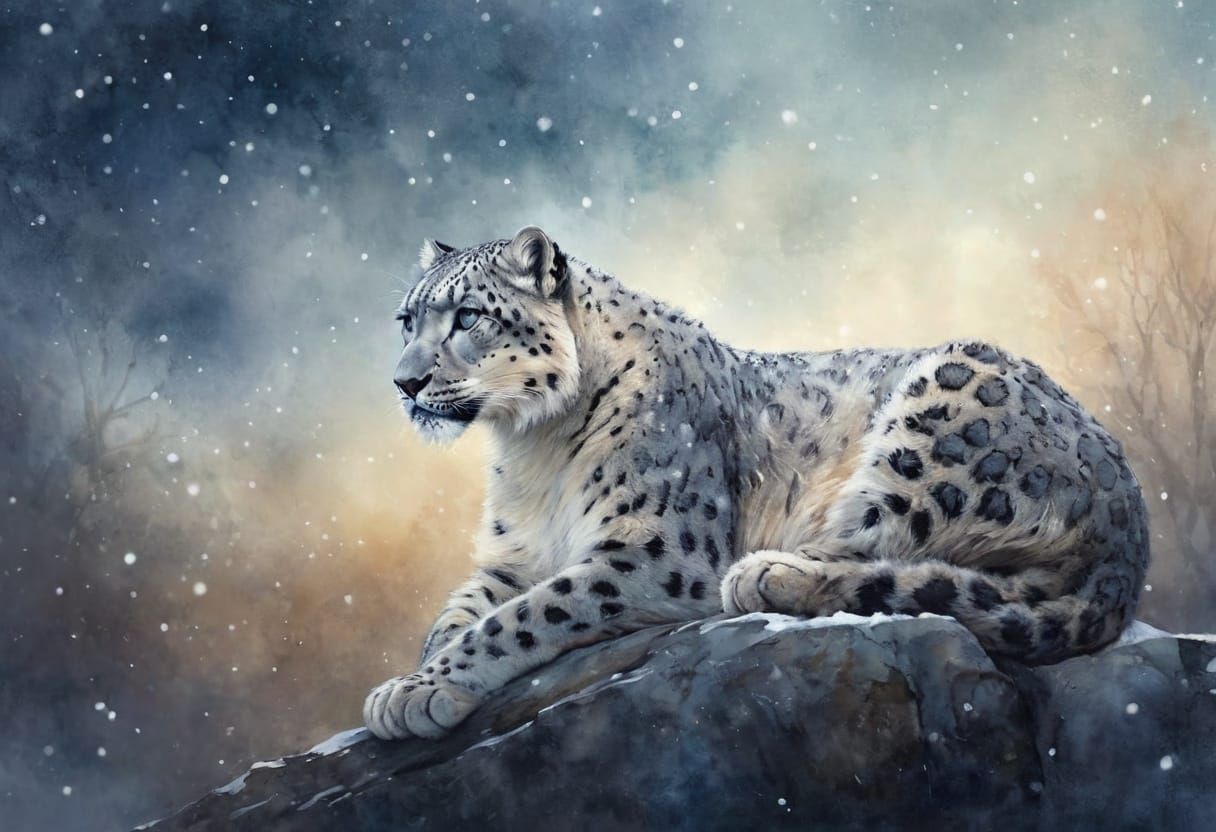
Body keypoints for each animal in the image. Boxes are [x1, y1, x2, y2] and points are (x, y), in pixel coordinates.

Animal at [363, 226, 1149, 741]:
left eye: (468, 316)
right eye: (406, 319)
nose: (404, 382)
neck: (532, 449)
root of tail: (1130, 519)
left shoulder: (653, 554)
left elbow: (528, 615)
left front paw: (420, 691)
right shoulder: (510, 558)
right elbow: (460, 612)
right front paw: (415, 677)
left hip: (930, 429)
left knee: (875, 552)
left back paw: (767, 575)